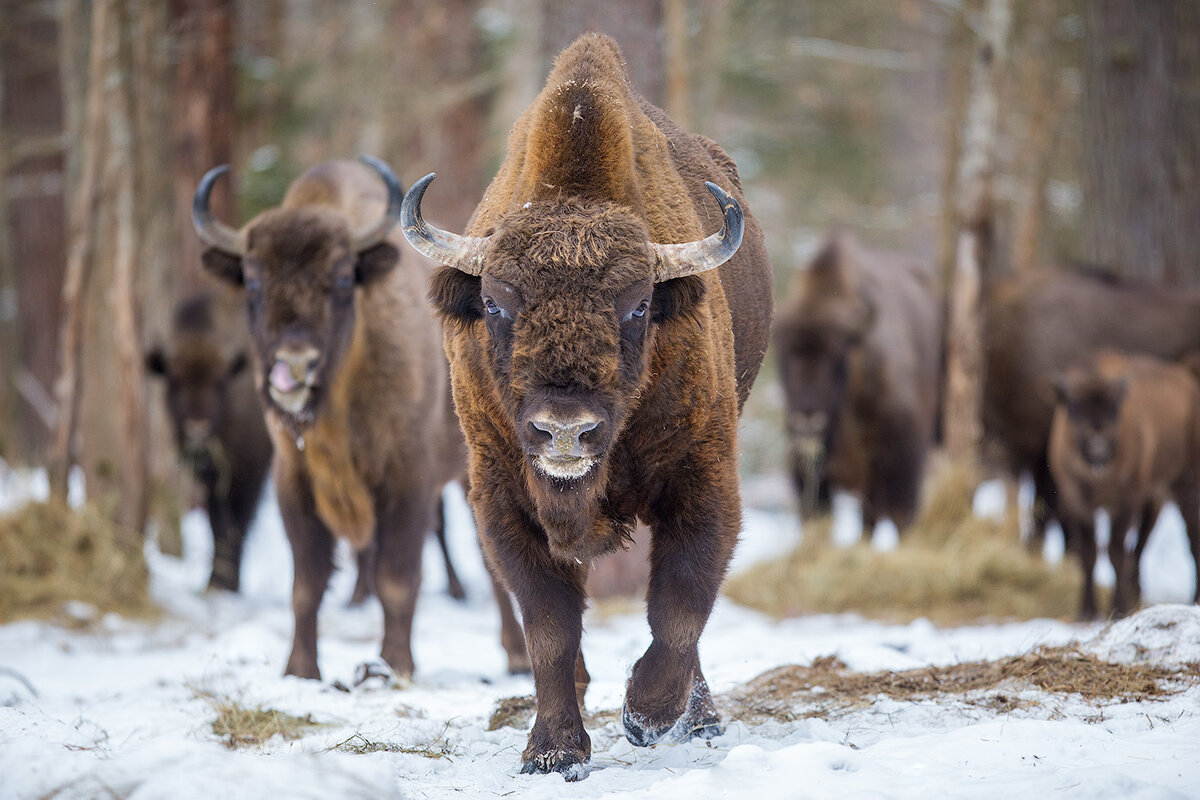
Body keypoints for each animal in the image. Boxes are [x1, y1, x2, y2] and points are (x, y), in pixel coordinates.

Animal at [146, 291, 273, 592]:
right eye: (175, 380)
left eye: (220, 382)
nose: (197, 429)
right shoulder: (211, 477)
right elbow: (217, 523)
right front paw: (216, 579)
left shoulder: (249, 469)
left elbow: (236, 522)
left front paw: (226, 583)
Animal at [190, 154, 525, 681]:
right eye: (253, 280)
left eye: (344, 278)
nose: (295, 364)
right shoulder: (293, 481)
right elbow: (306, 584)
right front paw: (300, 670)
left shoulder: (409, 480)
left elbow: (397, 577)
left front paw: (395, 665)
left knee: (491, 560)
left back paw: (516, 656)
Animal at [398, 34, 772, 777]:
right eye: (495, 303)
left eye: (637, 306)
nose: (564, 431)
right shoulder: (503, 500)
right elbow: (549, 628)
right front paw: (552, 751)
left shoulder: (704, 480)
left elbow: (680, 606)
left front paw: (646, 716)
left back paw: (698, 718)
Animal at [1046, 350, 1200, 618]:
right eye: (1074, 406)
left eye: (1114, 406)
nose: (1098, 439)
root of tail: (1187, 379)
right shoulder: (1076, 503)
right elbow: (1088, 553)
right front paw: (1087, 610)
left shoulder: (1125, 503)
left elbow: (1116, 552)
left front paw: (1119, 606)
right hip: (1156, 495)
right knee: (1143, 542)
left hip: (1185, 484)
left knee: (1191, 538)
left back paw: (1194, 597)